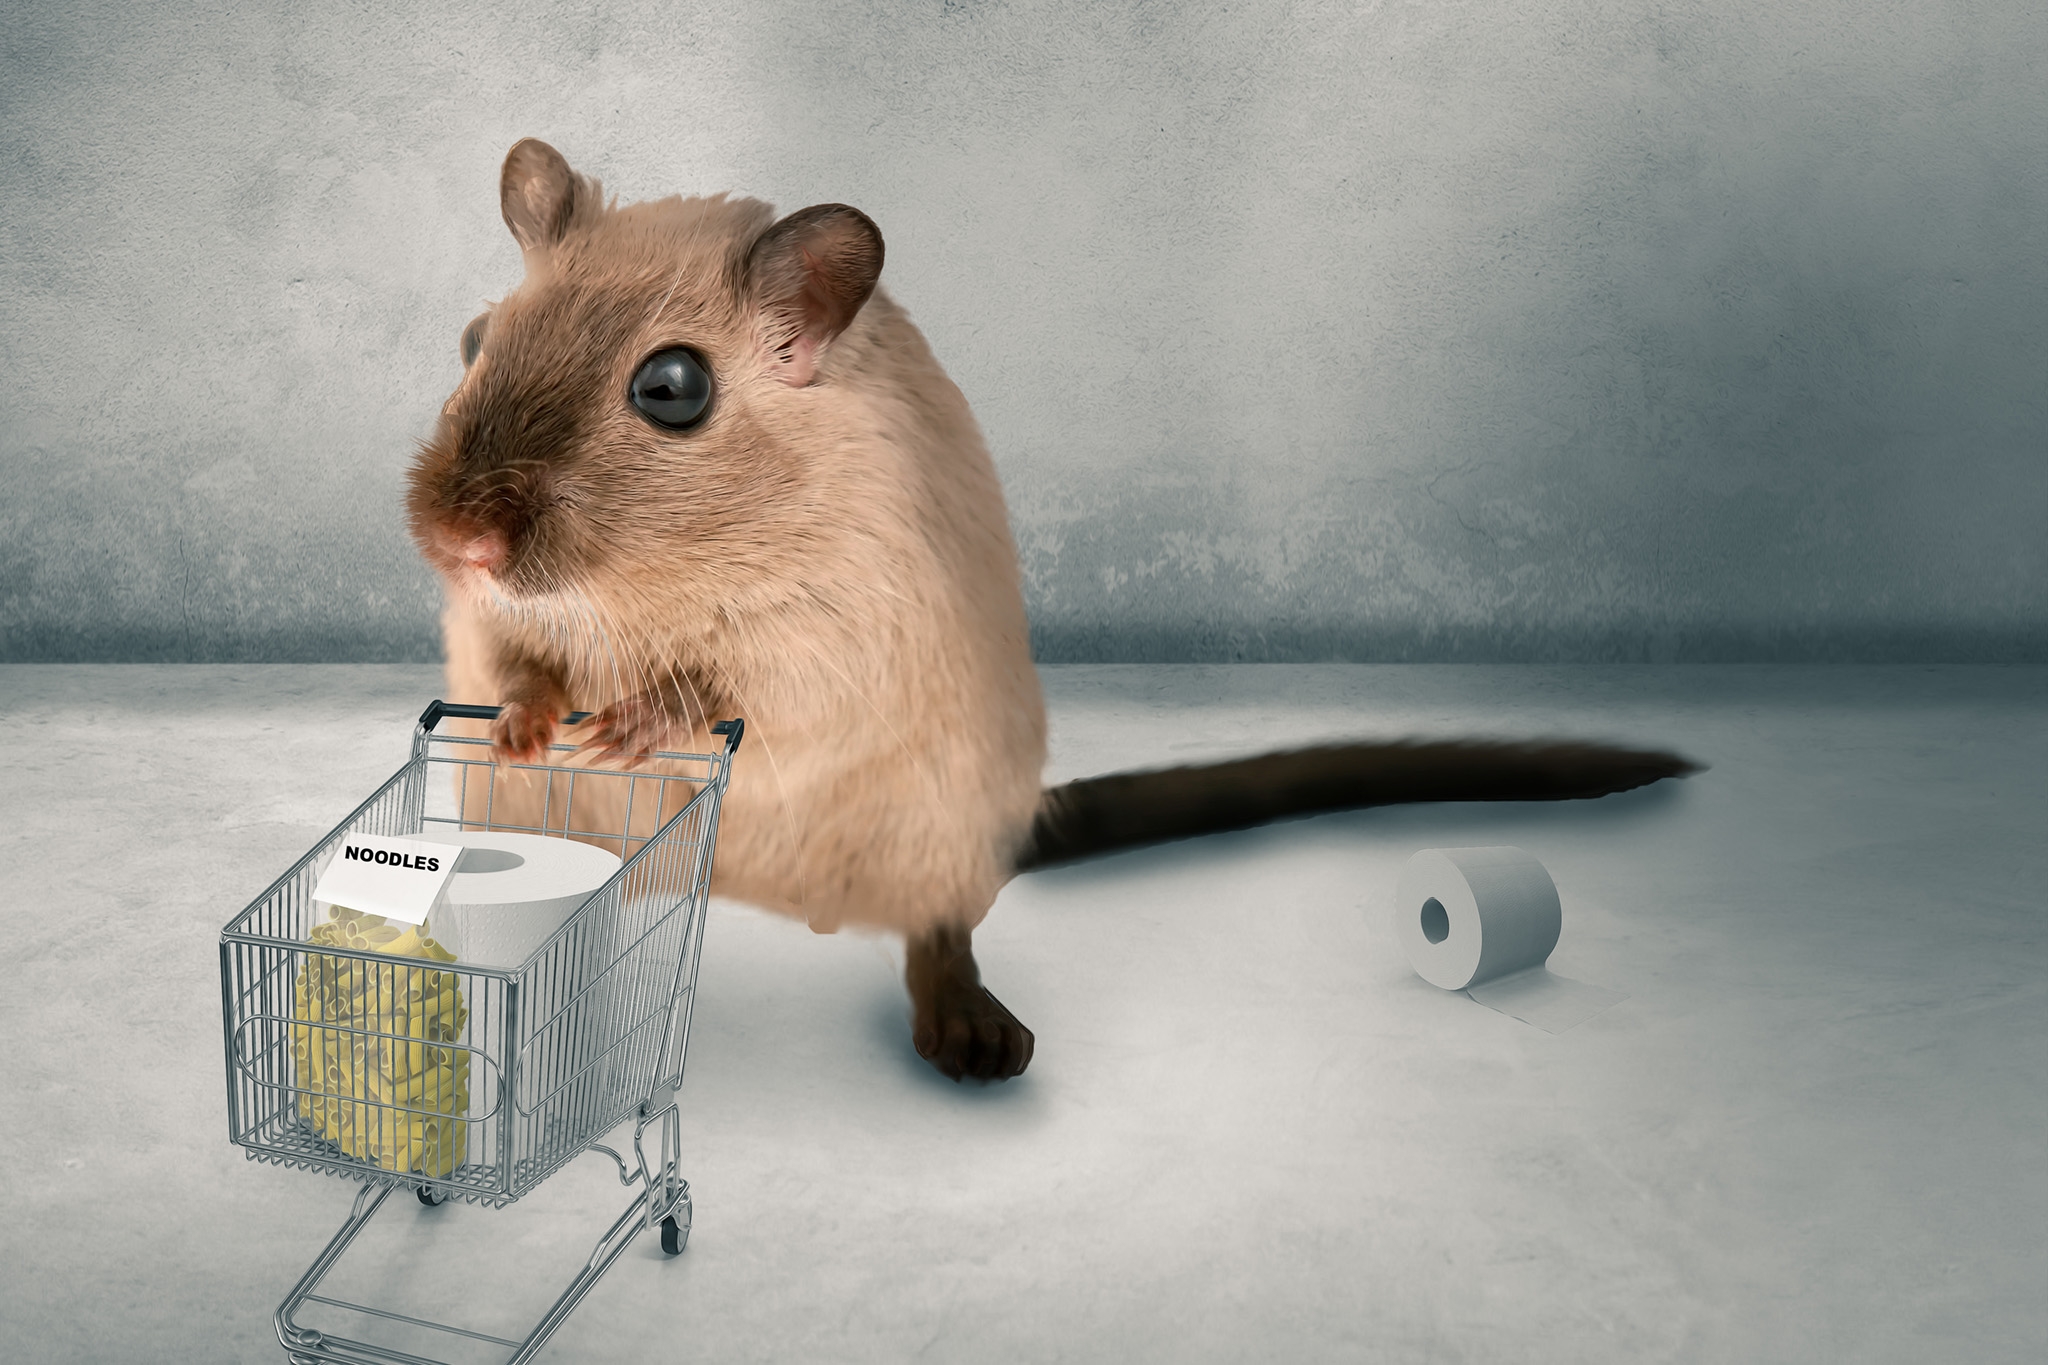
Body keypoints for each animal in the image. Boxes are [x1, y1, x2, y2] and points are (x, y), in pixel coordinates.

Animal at [407, 139, 1695, 1083]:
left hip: (939, 829)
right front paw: (529, 719)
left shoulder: (838, 632)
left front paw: (632, 721)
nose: (458, 541)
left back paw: (973, 1033)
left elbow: (737, 692)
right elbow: (514, 658)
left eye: (670, 388)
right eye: (473, 343)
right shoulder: (491, 621)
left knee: (938, 936)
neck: (642, 590)